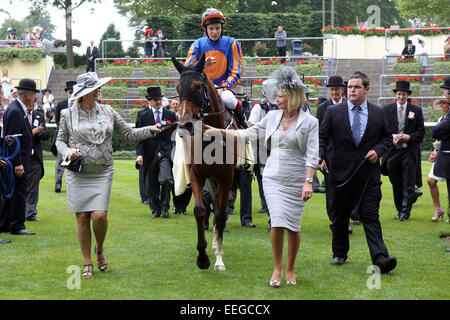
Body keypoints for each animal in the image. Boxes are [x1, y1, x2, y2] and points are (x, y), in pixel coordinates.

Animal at [170, 54, 239, 270]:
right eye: (178, 87)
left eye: (198, 86)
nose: (185, 124)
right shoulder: (196, 173)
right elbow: (200, 210)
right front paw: (202, 256)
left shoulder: (227, 175)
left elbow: (221, 214)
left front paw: (218, 259)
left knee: (219, 208)